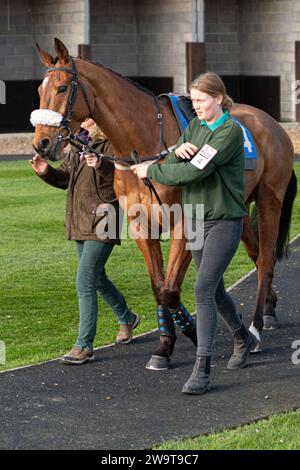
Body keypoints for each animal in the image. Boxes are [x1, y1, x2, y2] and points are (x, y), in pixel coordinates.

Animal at [32, 36, 296, 368]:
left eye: (63, 88)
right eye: (39, 90)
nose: (40, 144)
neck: (143, 145)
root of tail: (271, 123)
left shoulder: (185, 224)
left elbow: (170, 289)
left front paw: (191, 331)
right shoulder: (140, 225)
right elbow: (159, 287)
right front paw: (165, 345)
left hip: (269, 197)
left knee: (265, 260)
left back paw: (257, 327)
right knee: (255, 251)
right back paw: (268, 309)